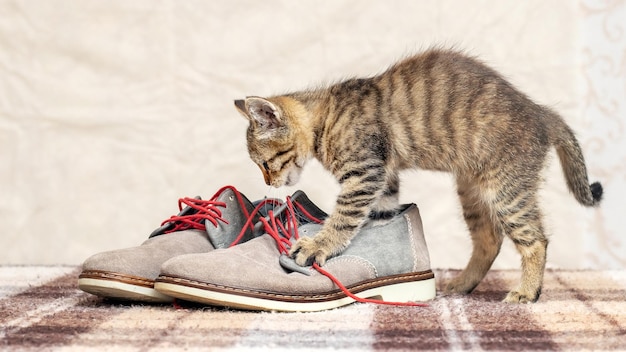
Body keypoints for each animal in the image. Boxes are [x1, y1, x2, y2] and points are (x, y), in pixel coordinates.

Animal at [234, 48, 600, 304]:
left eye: (265, 163)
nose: (268, 183)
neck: (324, 115)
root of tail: (540, 111)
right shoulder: (384, 178)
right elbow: (381, 214)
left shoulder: (364, 174)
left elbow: (343, 219)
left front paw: (318, 245)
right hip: (472, 191)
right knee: (489, 239)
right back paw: (462, 284)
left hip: (507, 190)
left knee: (535, 240)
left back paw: (527, 291)